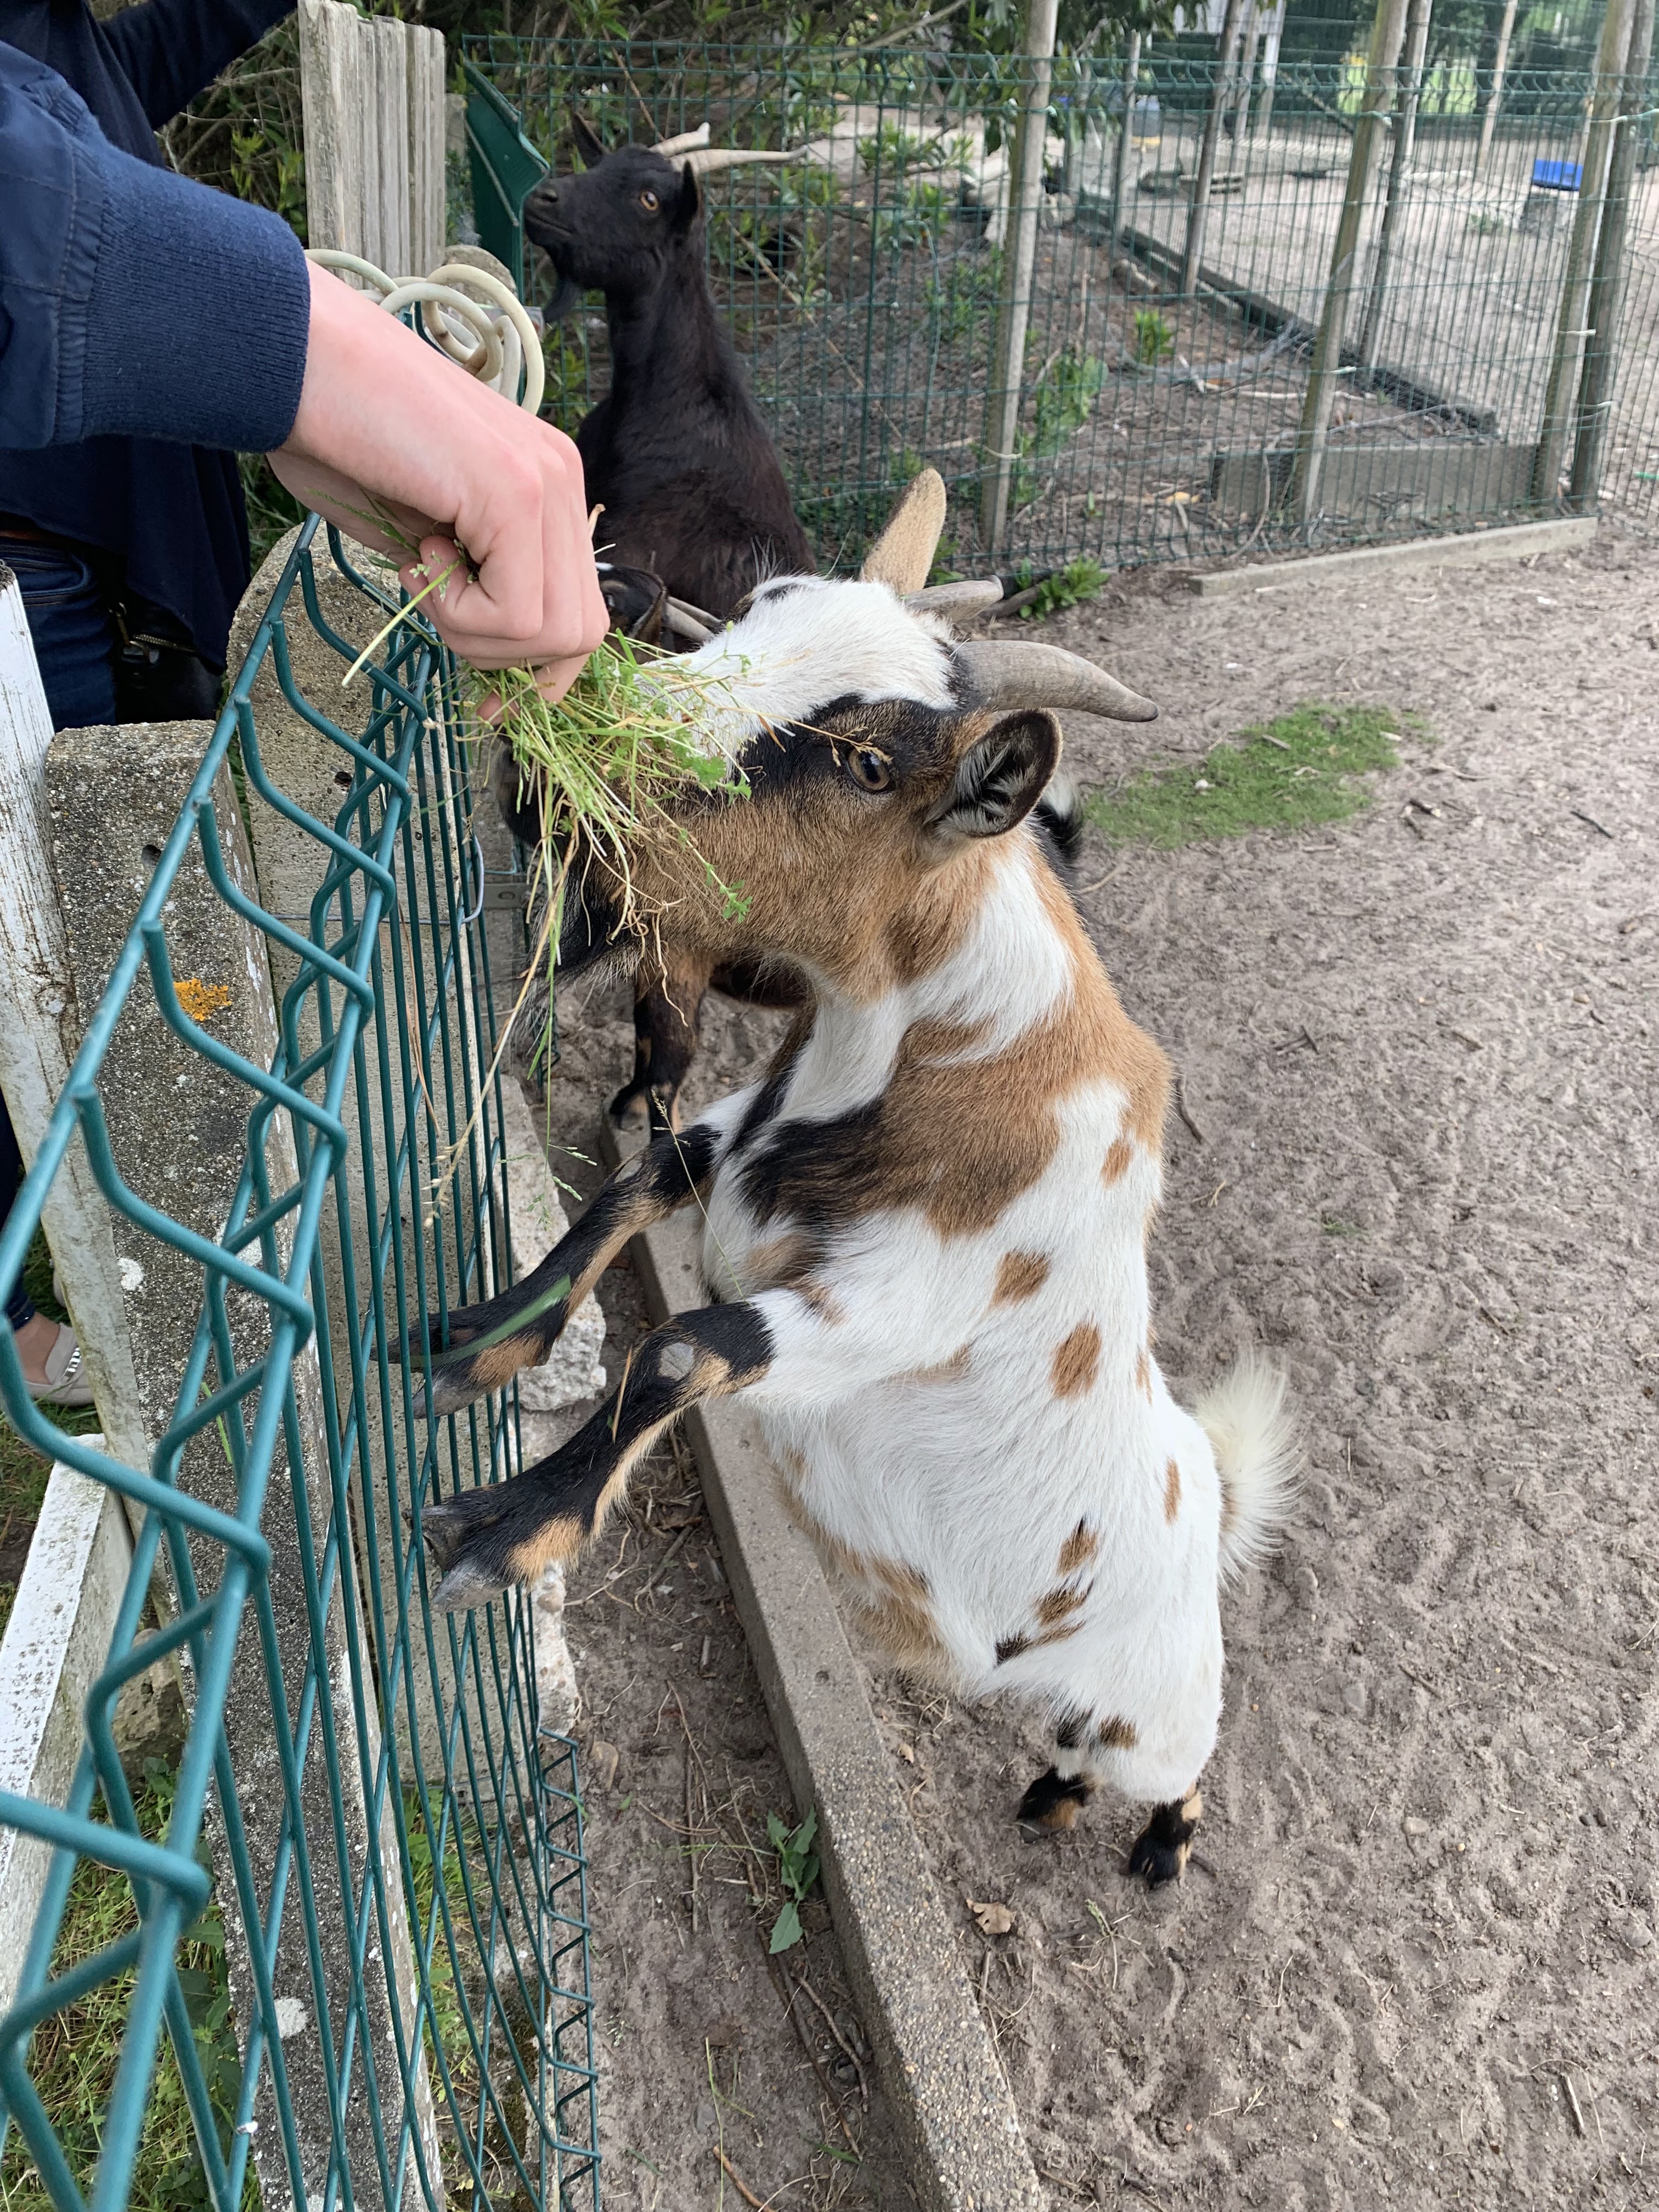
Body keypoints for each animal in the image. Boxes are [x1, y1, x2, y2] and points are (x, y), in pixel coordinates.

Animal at [415, 488, 1295, 1884]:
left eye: (872, 767)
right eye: (757, 615)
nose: (554, 774)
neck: (942, 1058)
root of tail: (1210, 1508)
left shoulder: (898, 1308)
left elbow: (685, 1346)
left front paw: (503, 1533)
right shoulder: (737, 1146)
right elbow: (639, 1181)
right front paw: (481, 1340)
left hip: (1161, 1710)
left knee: (1185, 1769)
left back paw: (1157, 1852)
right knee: (1072, 1753)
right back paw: (1046, 1805)